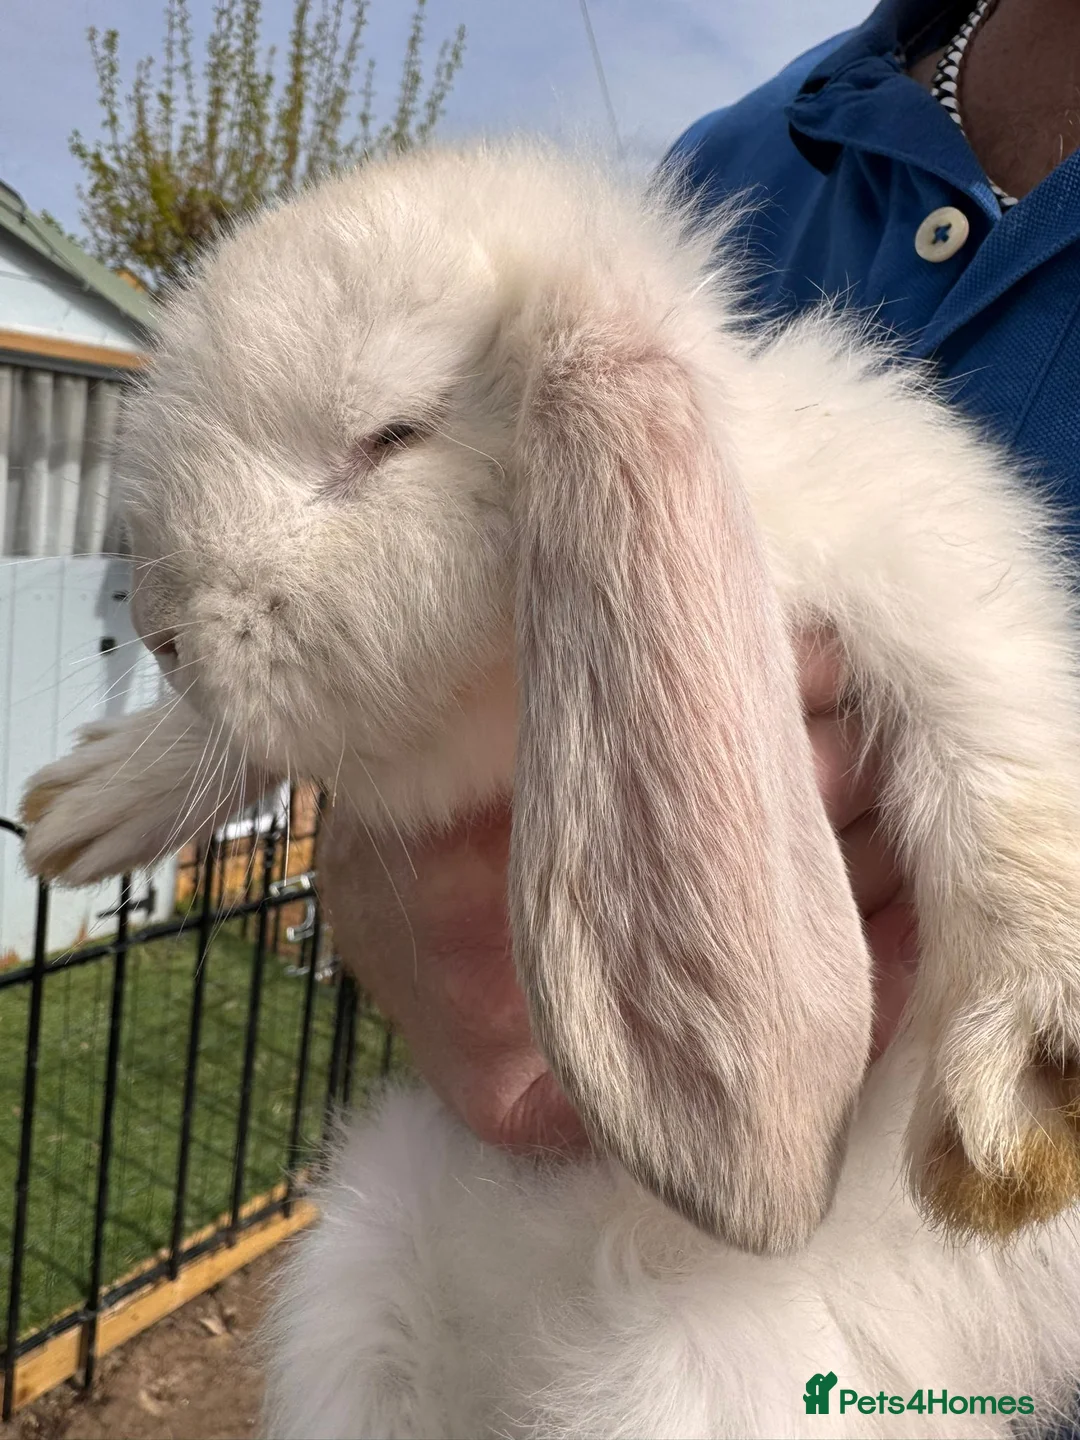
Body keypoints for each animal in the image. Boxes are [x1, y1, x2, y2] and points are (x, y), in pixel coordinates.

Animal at [18, 137, 1080, 1435]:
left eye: (391, 434)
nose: (165, 632)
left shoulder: (928, 564)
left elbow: (998, 751)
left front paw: (1014, 1112)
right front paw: (87, 802)